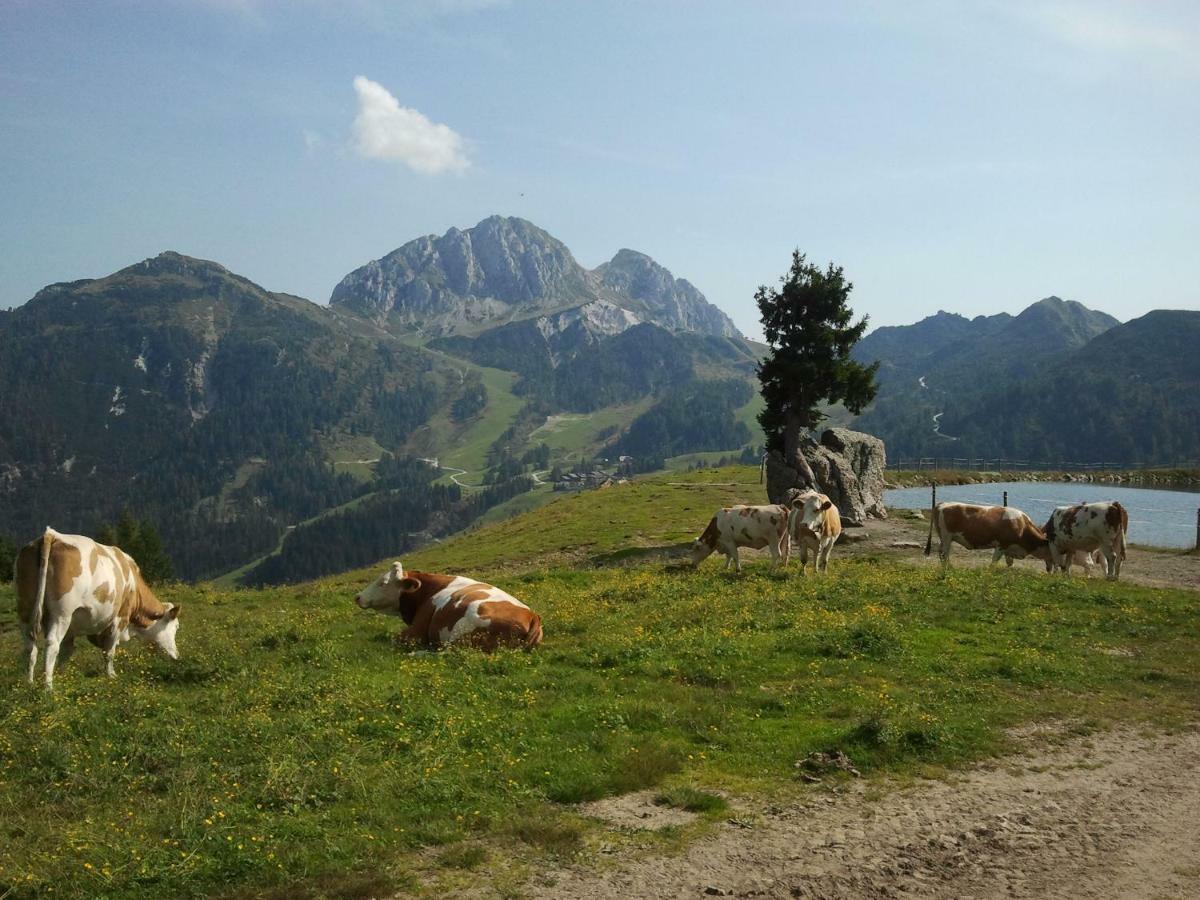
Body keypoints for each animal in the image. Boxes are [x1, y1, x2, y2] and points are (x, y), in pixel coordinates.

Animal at [14, 528, 183, 691]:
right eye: (176, 627)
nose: (176, 655)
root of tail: (51, 534)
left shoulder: (72, 630)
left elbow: (66, 652)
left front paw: (63, 676)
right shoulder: (120, 618)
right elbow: (109, 651)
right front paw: (111, 675)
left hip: (25, 609)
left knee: (30, 647)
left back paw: (29, 682)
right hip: (61, 613)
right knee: (52, 644)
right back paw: (48, 687)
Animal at [355, 561, 544, 652]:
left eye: (383, 583)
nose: (358, 597)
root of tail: (532, 616)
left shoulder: (416, 630)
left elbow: (395, 639)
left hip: (464, 631)